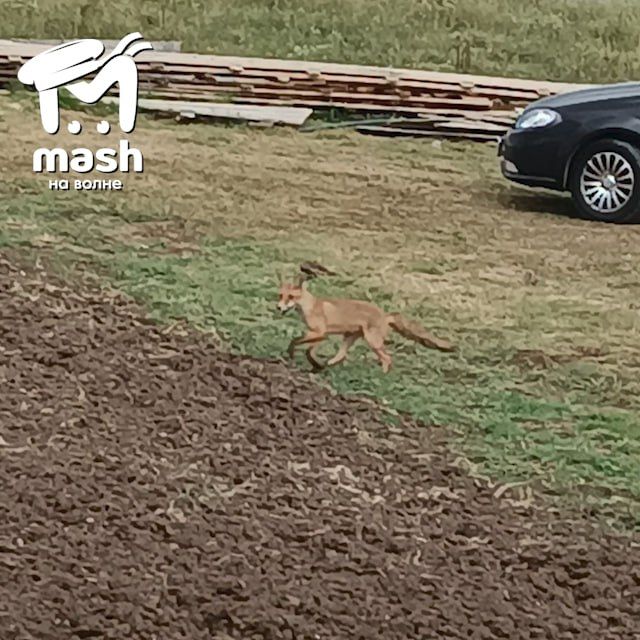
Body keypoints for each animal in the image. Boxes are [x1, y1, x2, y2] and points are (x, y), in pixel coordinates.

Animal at [277, 268, 455, 373]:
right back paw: (328, 365)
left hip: (372, 342)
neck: (311, 306)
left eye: (291, 297)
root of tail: (385, 314)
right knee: (341, 356)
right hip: (350, 337)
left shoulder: (319, 332)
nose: (278, 307)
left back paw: (382, 376)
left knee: (387, 359)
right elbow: (309, 351)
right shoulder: (319, 334)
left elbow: (295, 342)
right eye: (281, 295)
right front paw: (315, 365)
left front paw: (293, 355)